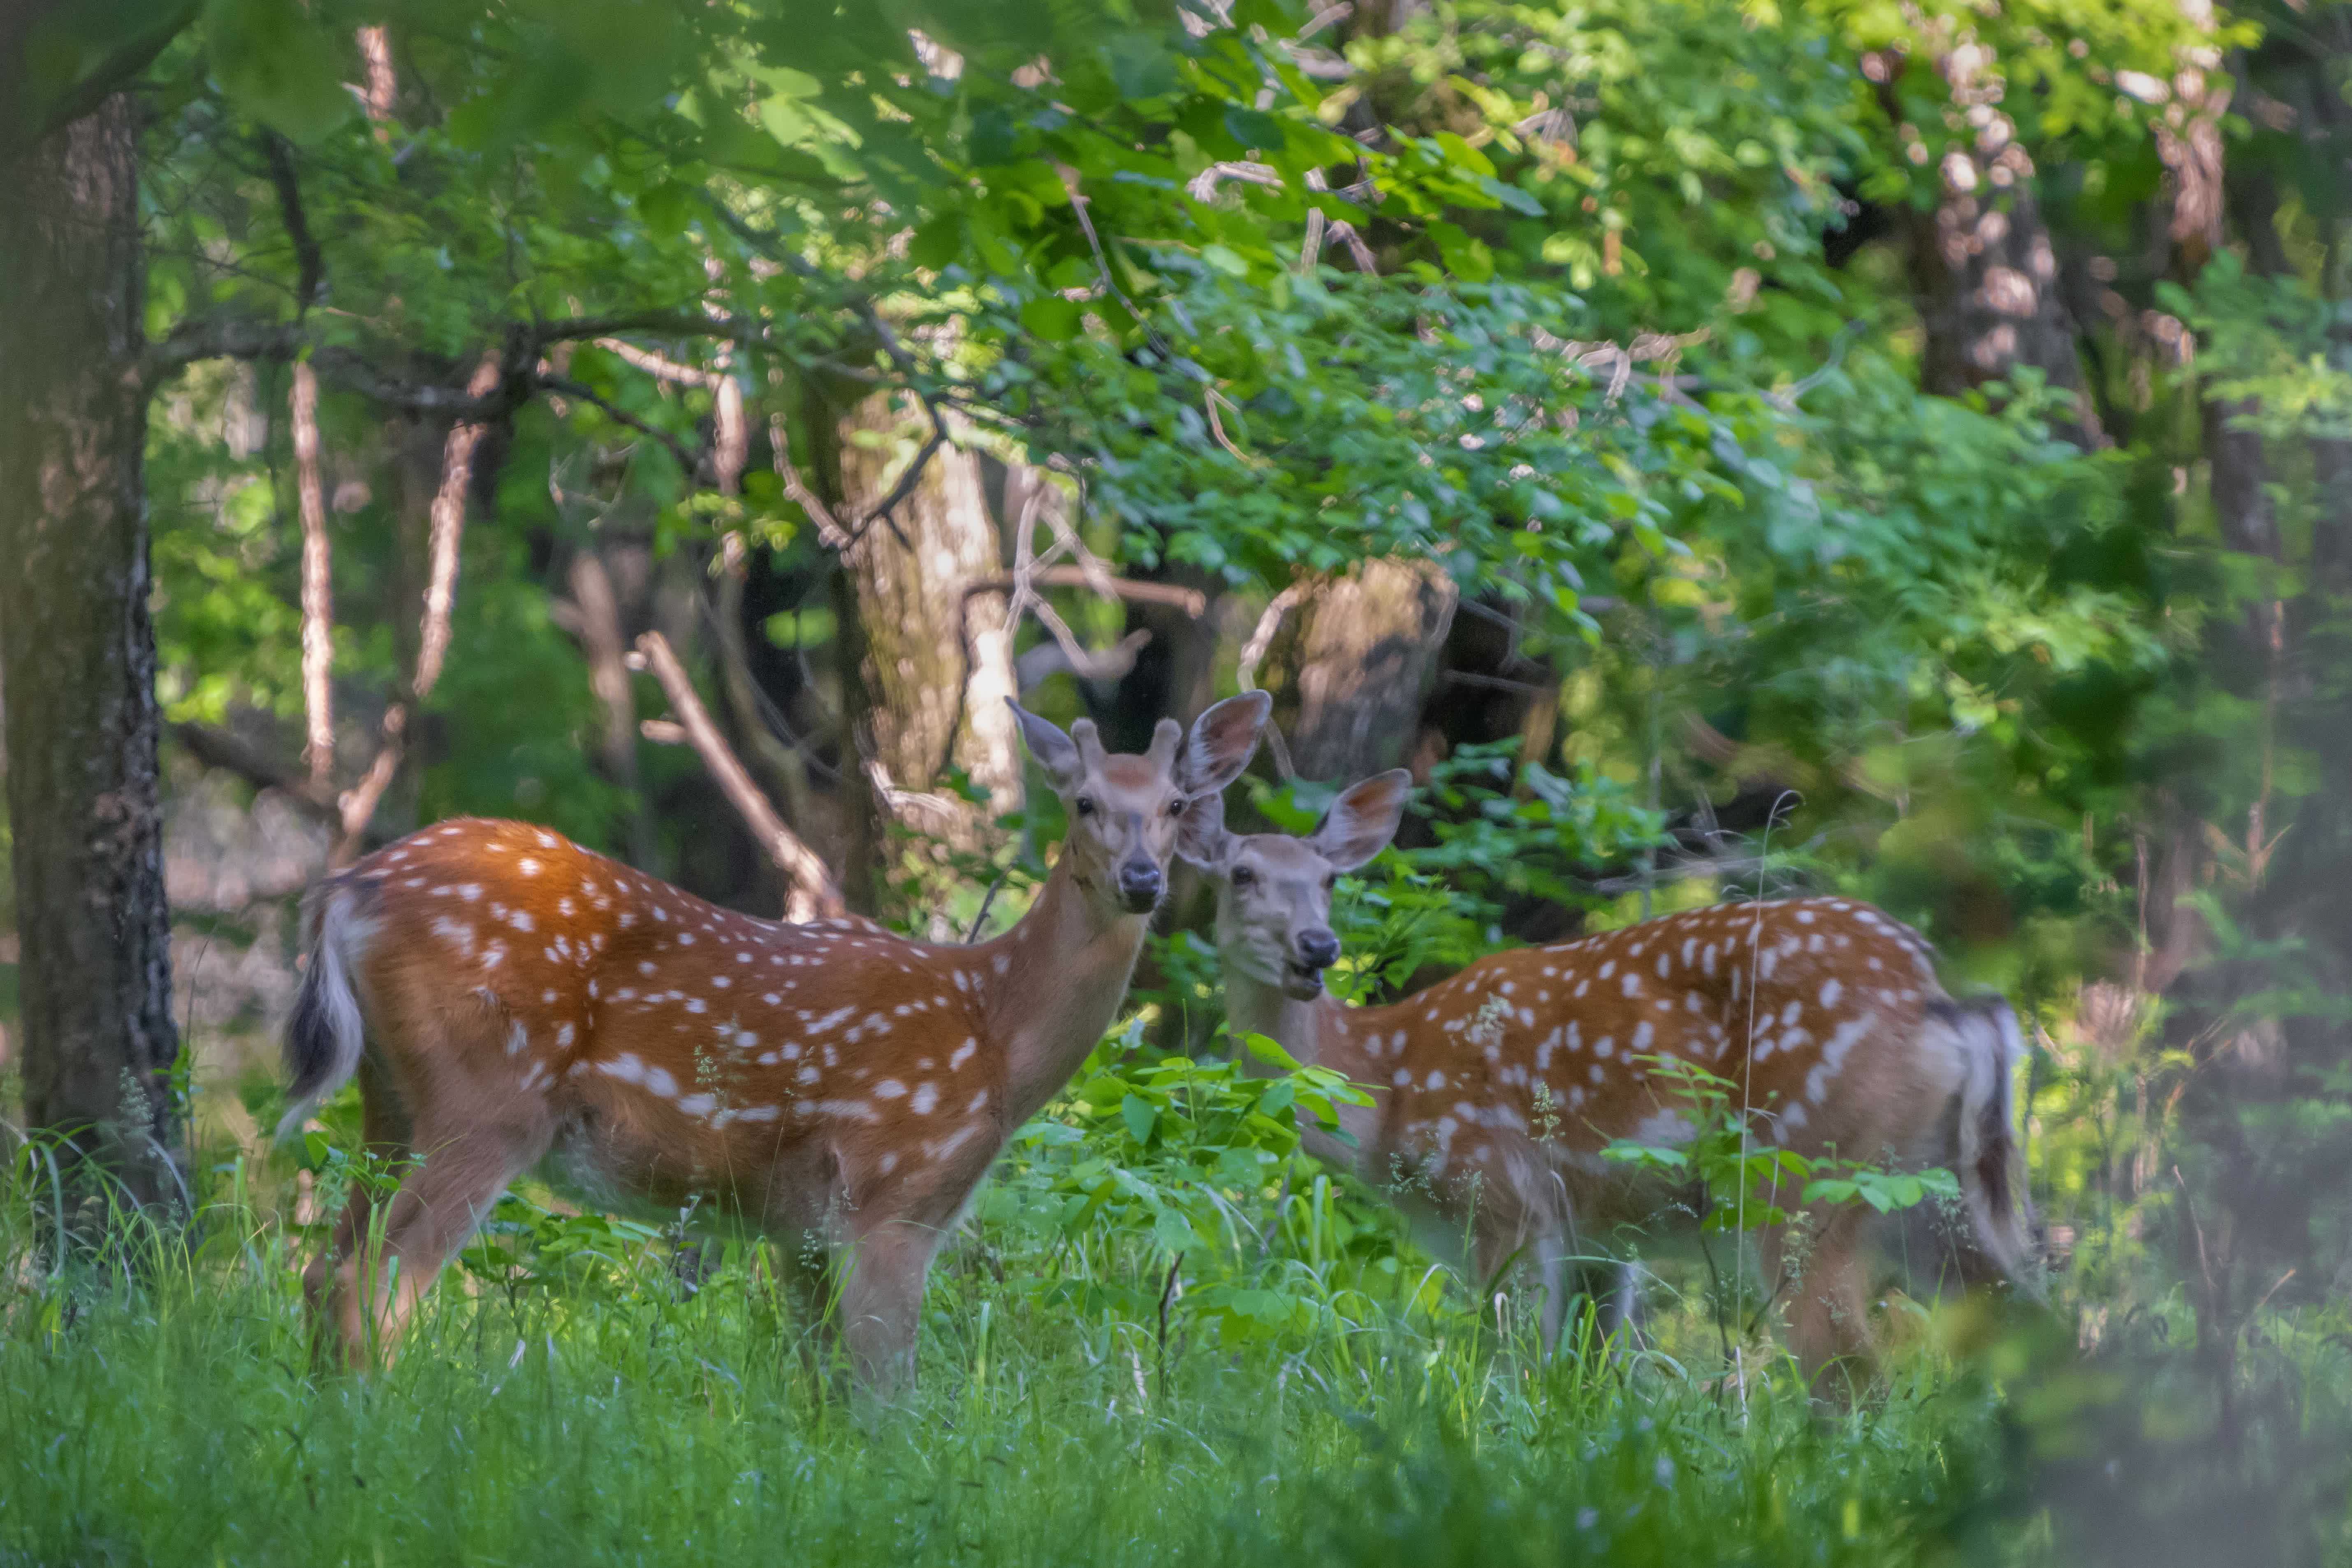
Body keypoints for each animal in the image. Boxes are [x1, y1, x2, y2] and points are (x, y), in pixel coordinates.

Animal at [284, 691, 1279, 1392]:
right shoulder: (896, 1186)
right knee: (376, 1280)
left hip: (390, 1096)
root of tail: (344, 892)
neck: (994, 1028)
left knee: (324, 1265)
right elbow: (883, 1392)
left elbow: (820, 1384)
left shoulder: (794, 1223)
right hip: (485, 1096)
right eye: (1081, 802)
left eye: (1178, 802)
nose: (1143, 879)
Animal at [1176, 771, 2041, 1382]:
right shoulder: (1597, 1231)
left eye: (1327, 880)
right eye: (1240, 875)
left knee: (1849, 1374)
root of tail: (1937, 996)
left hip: (1803, 1171)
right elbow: (1588, 1374)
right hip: (1936, 1193)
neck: (1383, 1092)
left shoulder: (1499, 1194)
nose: (1317, 947)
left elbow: (1505, 1364)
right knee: (2028, 1333)